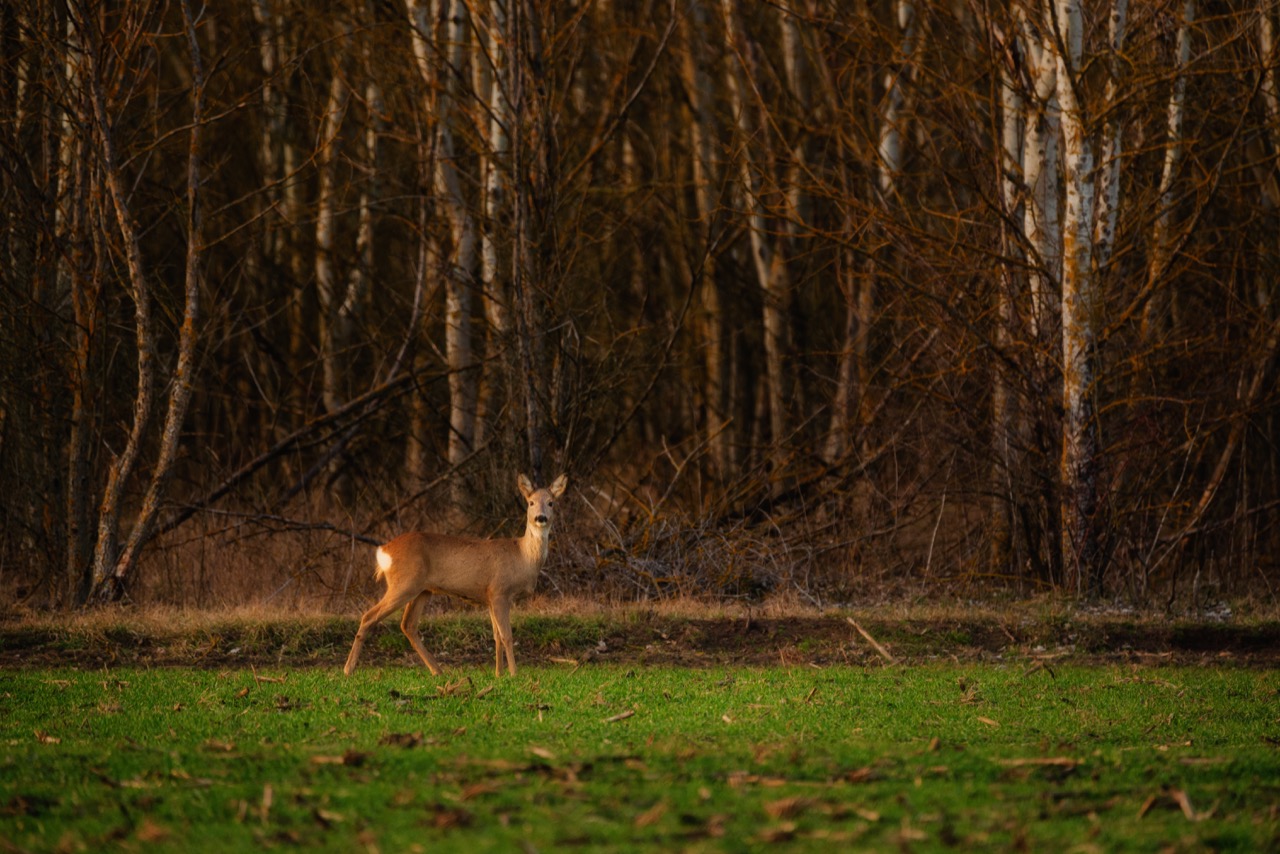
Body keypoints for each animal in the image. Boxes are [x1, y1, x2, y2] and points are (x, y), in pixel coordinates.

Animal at [348, 471, 573, 676]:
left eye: (551, 503)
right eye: (531, 502)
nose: (540, 518)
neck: (522, 556)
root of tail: (383, 550)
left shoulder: (489, 597)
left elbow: (496, 636)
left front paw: (498, 674)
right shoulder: (500, 591)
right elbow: (507, 636)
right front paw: (513, 674)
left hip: (422, 590)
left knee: (408, 625)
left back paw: (438, 671)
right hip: (404, 584)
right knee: (369, 616)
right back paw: (348, 669)